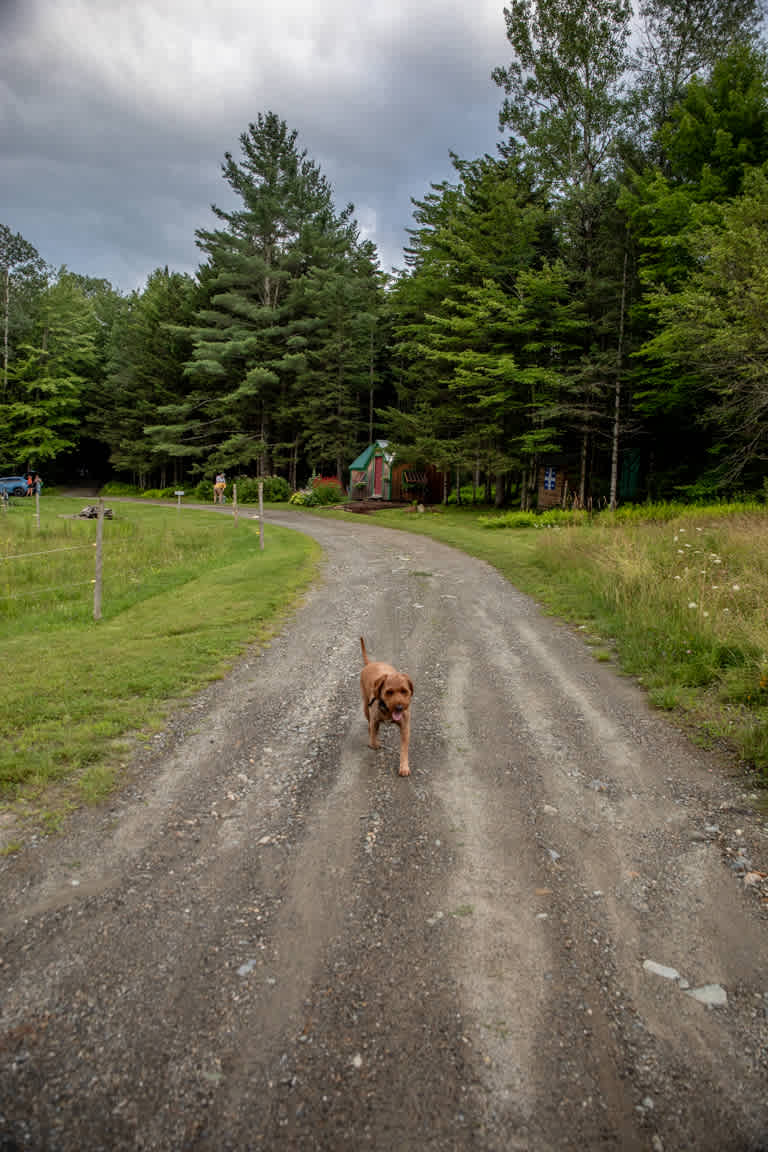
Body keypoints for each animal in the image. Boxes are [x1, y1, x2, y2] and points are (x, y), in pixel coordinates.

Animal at [361, 635, 414, 778]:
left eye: (404, 691)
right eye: (389, 692)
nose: (399, 707)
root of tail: (370, 664)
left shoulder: (405, 728)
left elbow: (404, 749)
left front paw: (404, 767)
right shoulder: (375, 719)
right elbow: (373, 738)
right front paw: (374, 742)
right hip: (365, 706)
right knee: (369, 722)